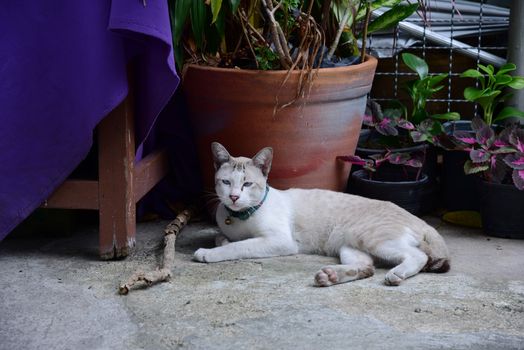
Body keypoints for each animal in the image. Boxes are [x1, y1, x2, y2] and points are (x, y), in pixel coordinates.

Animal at [193, 143, 450, 288]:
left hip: (372, 239)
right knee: (367, 267)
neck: (239, 217)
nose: (234, 197)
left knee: (418, 256)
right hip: (349, 245)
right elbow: (224, 239)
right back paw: (330, 277)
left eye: (247, 184)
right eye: (226, 183)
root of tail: (420, 220)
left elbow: (238, 246)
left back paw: (396, 275)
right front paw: (222, 241)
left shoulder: (279, 241)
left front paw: (208, 253)